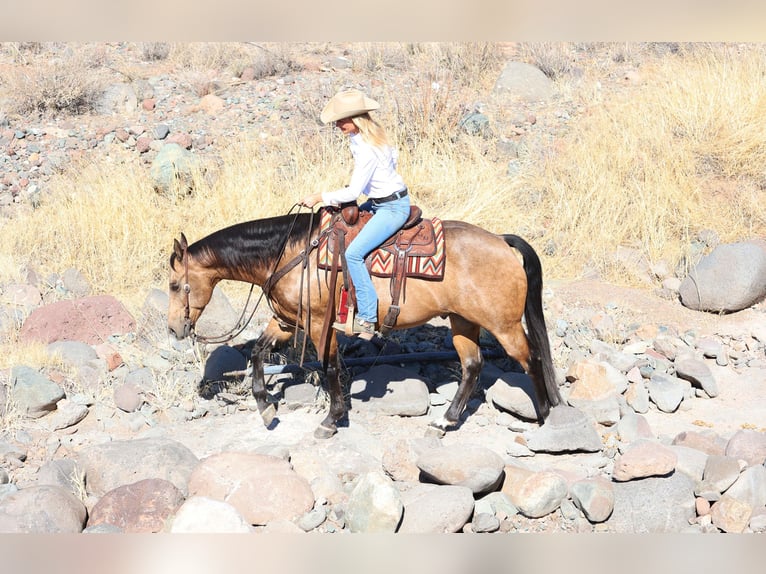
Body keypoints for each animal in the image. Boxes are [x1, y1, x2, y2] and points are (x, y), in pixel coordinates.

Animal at [168, 209, 564, 438]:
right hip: (463, 321)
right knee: (472, 366)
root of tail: (502, 241)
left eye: (174, 285)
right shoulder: (286, 321)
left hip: (503, 325)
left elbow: (329, 367)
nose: (174, 329)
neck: (291, 252)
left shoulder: (320, 325)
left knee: (532, 359)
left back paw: (546, 416)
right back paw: (445, 421)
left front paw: (331, 420)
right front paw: (266, 406)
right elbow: (257, 354)